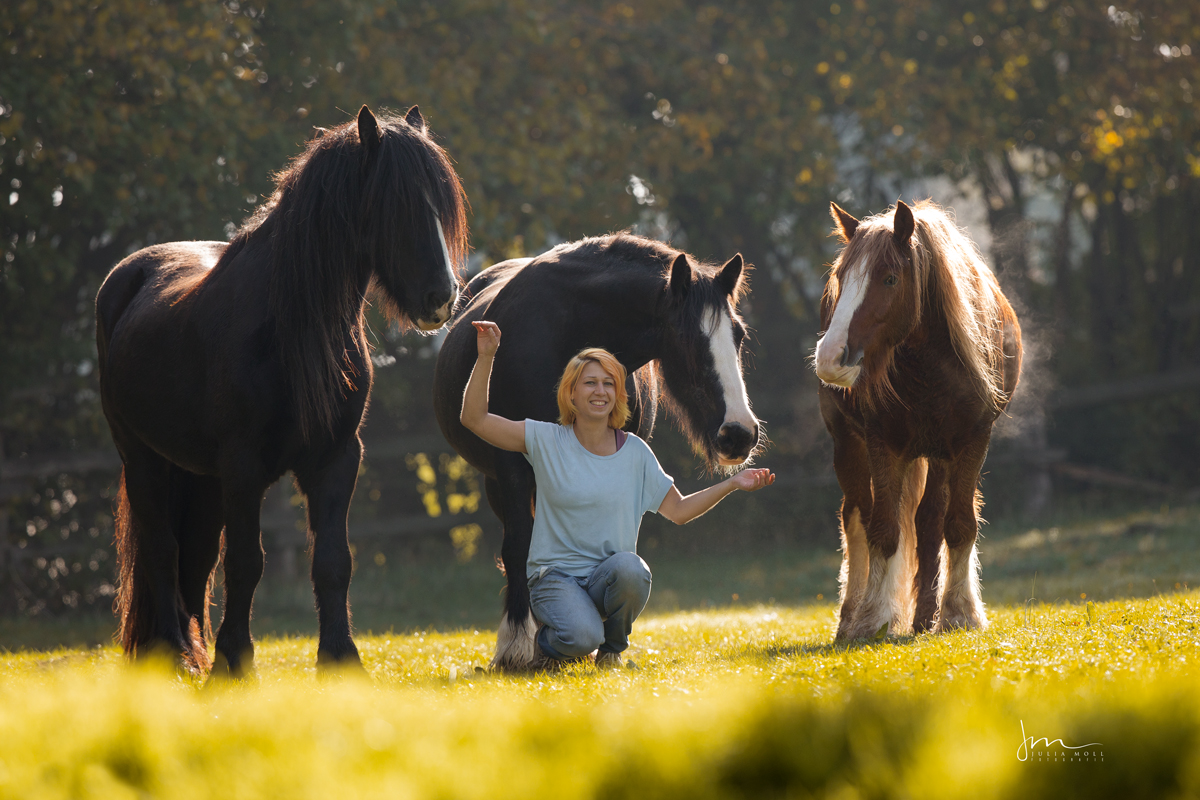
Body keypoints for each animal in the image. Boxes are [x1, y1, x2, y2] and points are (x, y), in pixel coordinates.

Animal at [96, 103, 468, 671]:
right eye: (396, 203)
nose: (441, 298)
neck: (291, 332)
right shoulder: (244, 465)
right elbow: (247, 563)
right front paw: (233, 663)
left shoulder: (336, 458)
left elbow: (333, 561)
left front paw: (340, 659)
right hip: (142, 458)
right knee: (161, 548)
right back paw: (175, 657)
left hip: (201, 477)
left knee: (195, 560)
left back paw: (190, 652)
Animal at [432, 232, 758, 671]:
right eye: (688, 338)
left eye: (738, 335)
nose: (738, 434)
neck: (563, 330)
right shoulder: (512, 466)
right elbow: (518, 548)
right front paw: (516, 646)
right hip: (497, 483)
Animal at [811, 203, 1017, 642]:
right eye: (841, 278)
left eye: (889, 278)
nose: (830, 356)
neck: (932, 364)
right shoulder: (883, 444)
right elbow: (883, 530)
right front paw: (871, 619)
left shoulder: (972, 441)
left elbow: (957, 525)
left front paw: (958, 613)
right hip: (848, 446)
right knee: (855, 518)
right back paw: (850, 616)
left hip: (936, 455)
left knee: (928, 521)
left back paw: (925, 616)